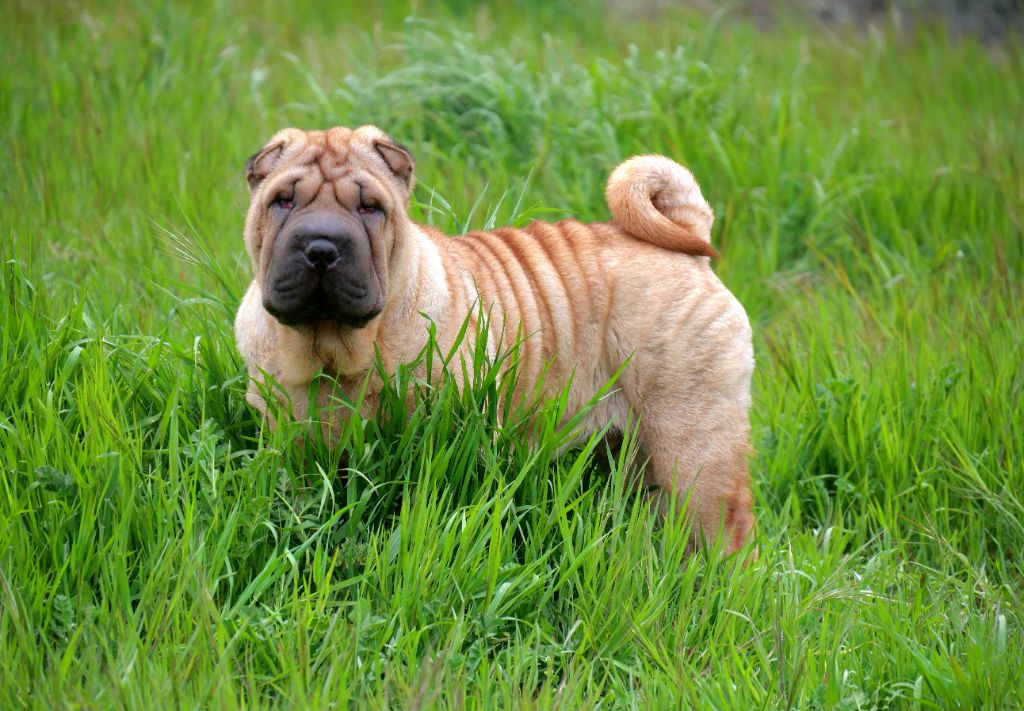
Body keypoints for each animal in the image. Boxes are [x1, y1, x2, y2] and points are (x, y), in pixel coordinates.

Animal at [235, 125, 755, 553]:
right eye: (282, 202)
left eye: (370, 209)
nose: (321, 247)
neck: (333, 353)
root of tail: (689, 245)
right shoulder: (289, 440)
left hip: (694, 442)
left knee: (726, 529)